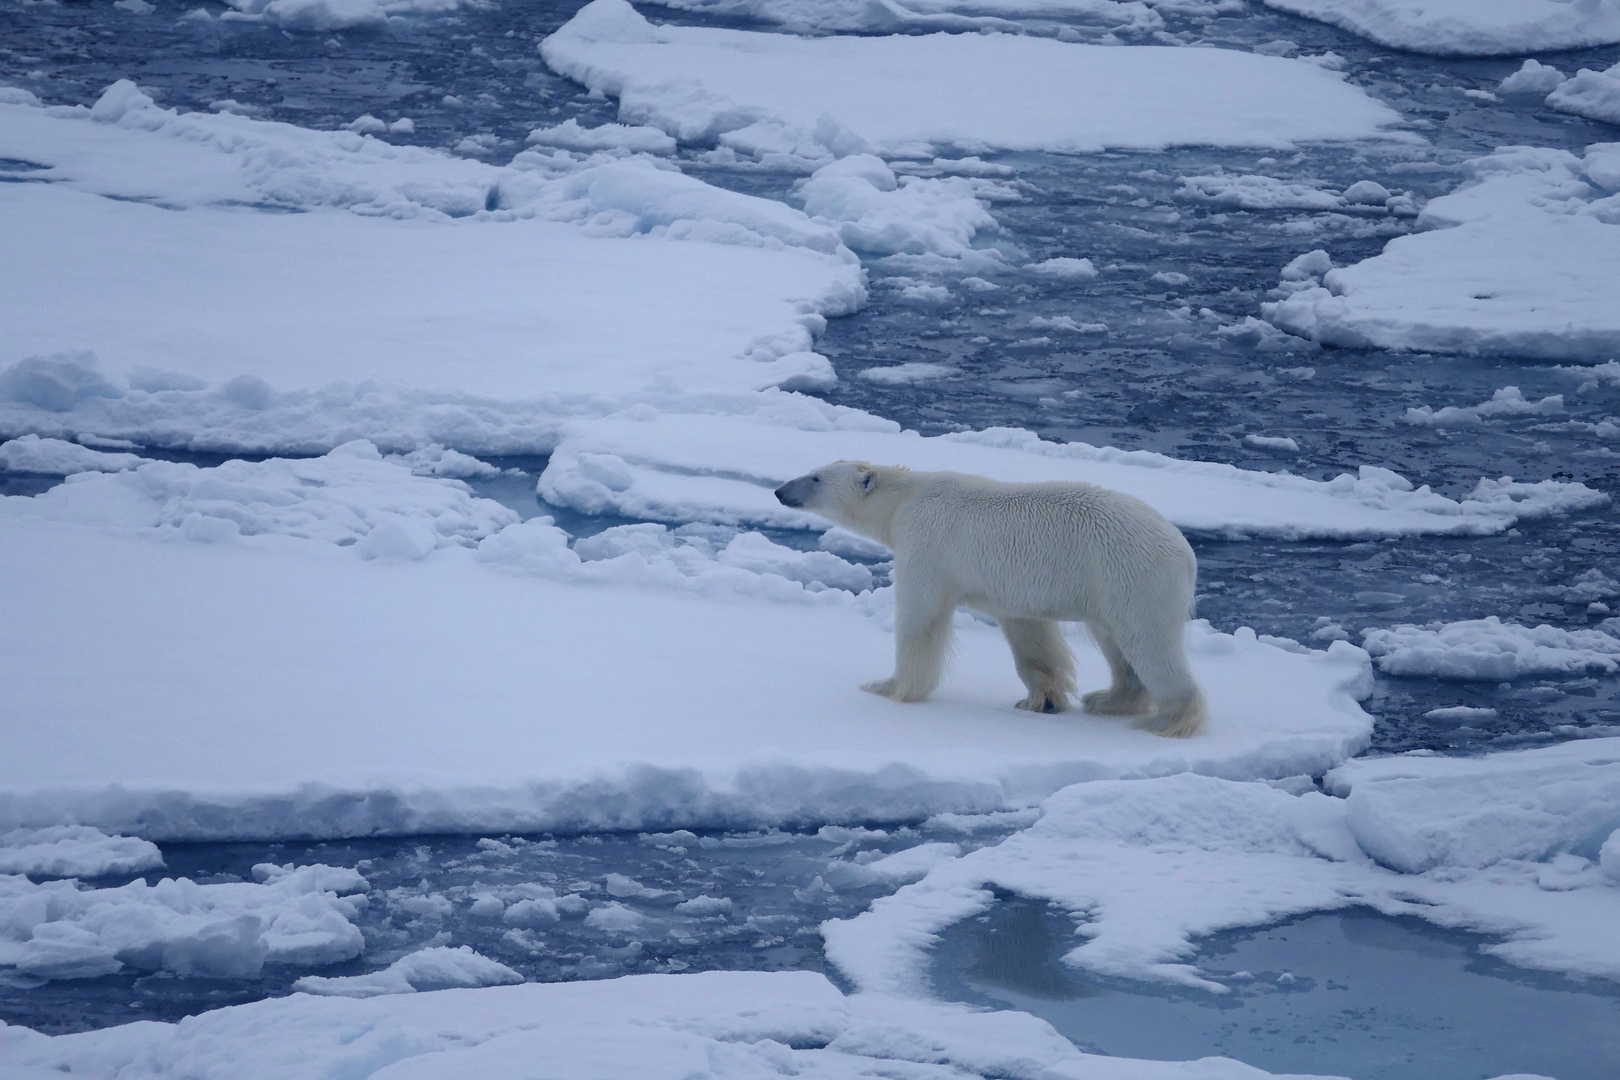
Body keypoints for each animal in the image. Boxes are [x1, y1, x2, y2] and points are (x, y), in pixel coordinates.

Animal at [771, 459, 1205, 738]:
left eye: (815, 478)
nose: (778, 490)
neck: (903, 500)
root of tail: (1185, 552)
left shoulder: (926, 543)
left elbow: (919, 618)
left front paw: (887, 686)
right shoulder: (1012, 588)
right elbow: (1029, 635)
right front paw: (1041, 699)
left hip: (1130, 574)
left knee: (1147, 641)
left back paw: (1166, 719)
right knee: (1116, 643)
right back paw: (1106, 700)